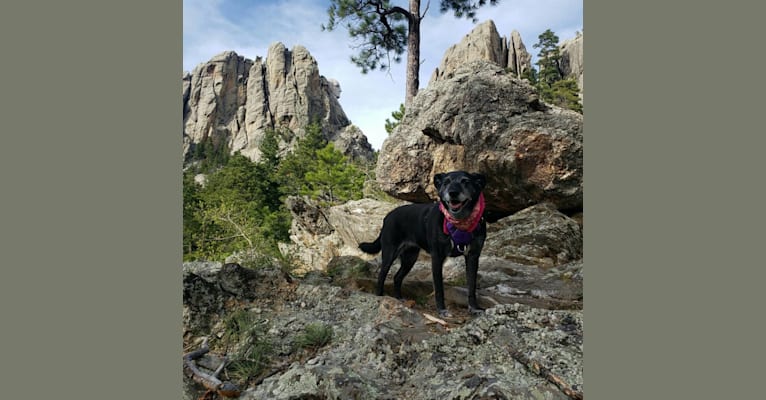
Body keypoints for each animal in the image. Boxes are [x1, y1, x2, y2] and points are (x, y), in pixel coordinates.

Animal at [360, 170, 486, 318]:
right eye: (446, 182)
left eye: (465, 181)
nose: (453, 192)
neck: (460, 223)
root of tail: (388, 216)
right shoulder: (437, 258)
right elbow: (439, 288)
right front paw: (442, 310)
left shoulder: (473, 257)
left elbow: (471, 287)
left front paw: (474, 308)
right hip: (390, 254)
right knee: (382, 275)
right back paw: (380, 296)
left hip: (410, 258)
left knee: (397, 277)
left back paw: (399, 298)